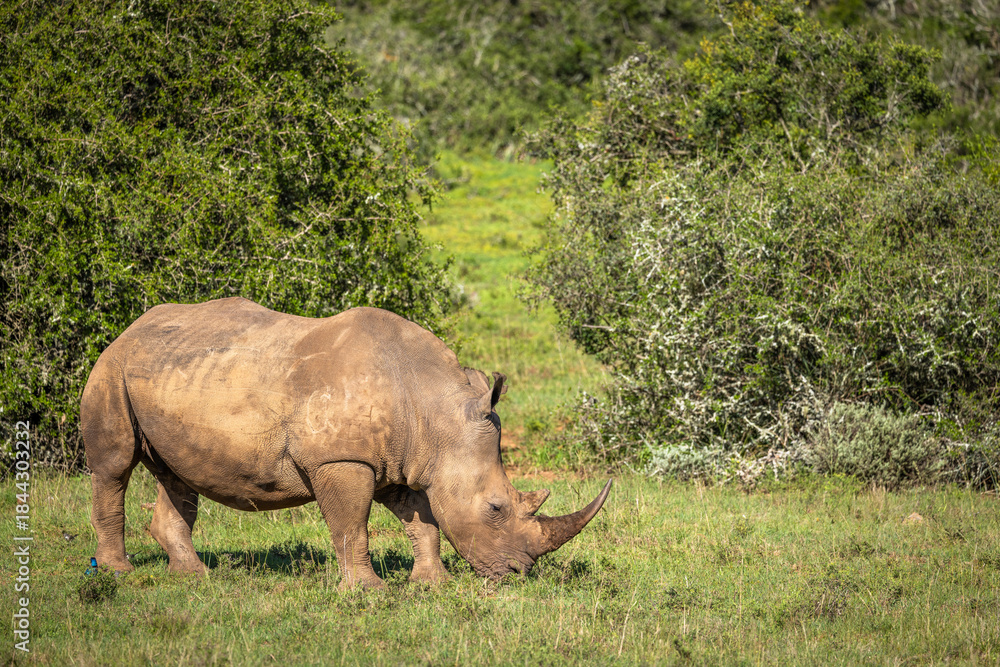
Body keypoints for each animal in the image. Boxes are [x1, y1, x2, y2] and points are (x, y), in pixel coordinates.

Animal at [80, 297, 610, 587]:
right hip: (112, 367)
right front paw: (368, 592)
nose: (519, 574)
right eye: (496, 508)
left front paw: (431, 585)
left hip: (174, 373)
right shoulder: (341, 459)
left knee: (177, 476)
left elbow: (424, 522)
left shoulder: (406, 460)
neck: (435, 412)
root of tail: (129, 328)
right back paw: (119, 574)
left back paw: (192, 577)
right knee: (114, 467)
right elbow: (353, 525)